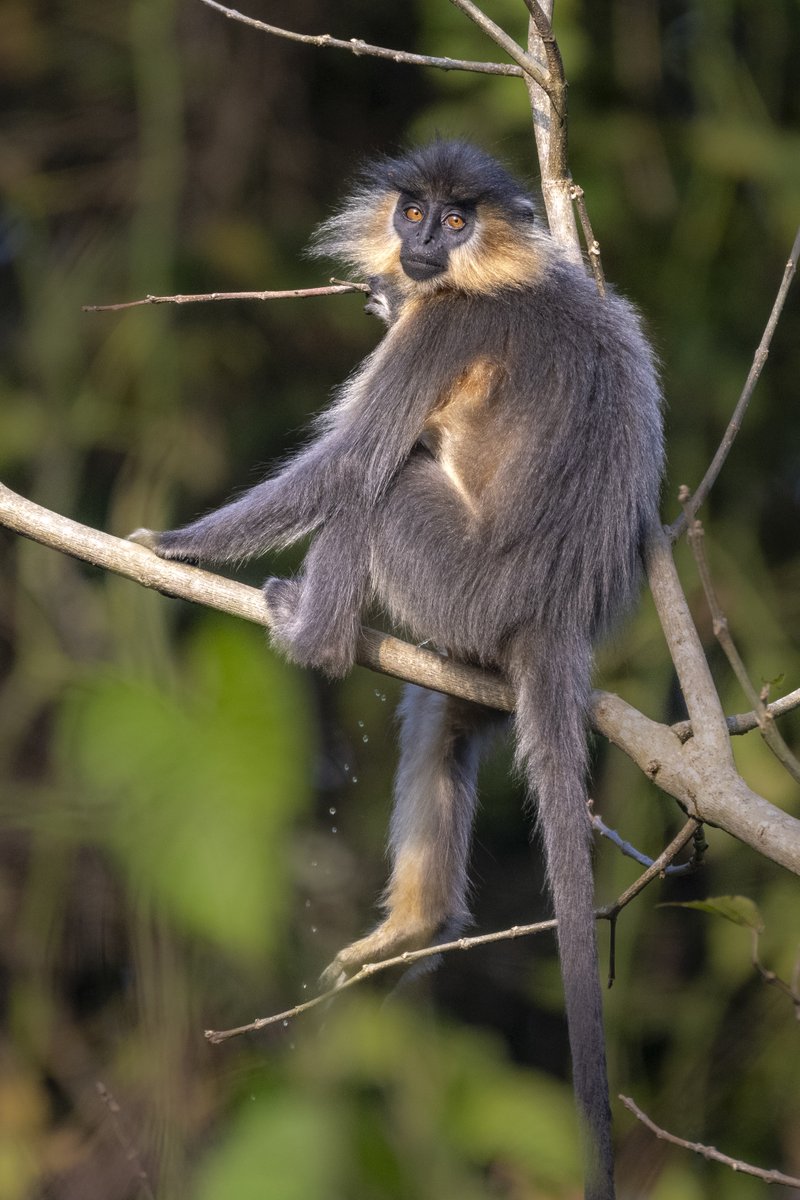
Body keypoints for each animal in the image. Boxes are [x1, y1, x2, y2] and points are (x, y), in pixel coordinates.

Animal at [130, 142, 662, 1200]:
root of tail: (554, 618)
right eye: (414, 211)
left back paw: (316, 637)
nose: (420, 244)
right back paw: (415, 930)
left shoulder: (445, 325)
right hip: (469, 642)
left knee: (379, 486)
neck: (495, 273)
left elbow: (344, 469)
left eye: (457, 221)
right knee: (443, 720)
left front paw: (173, 549)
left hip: (449, 575)